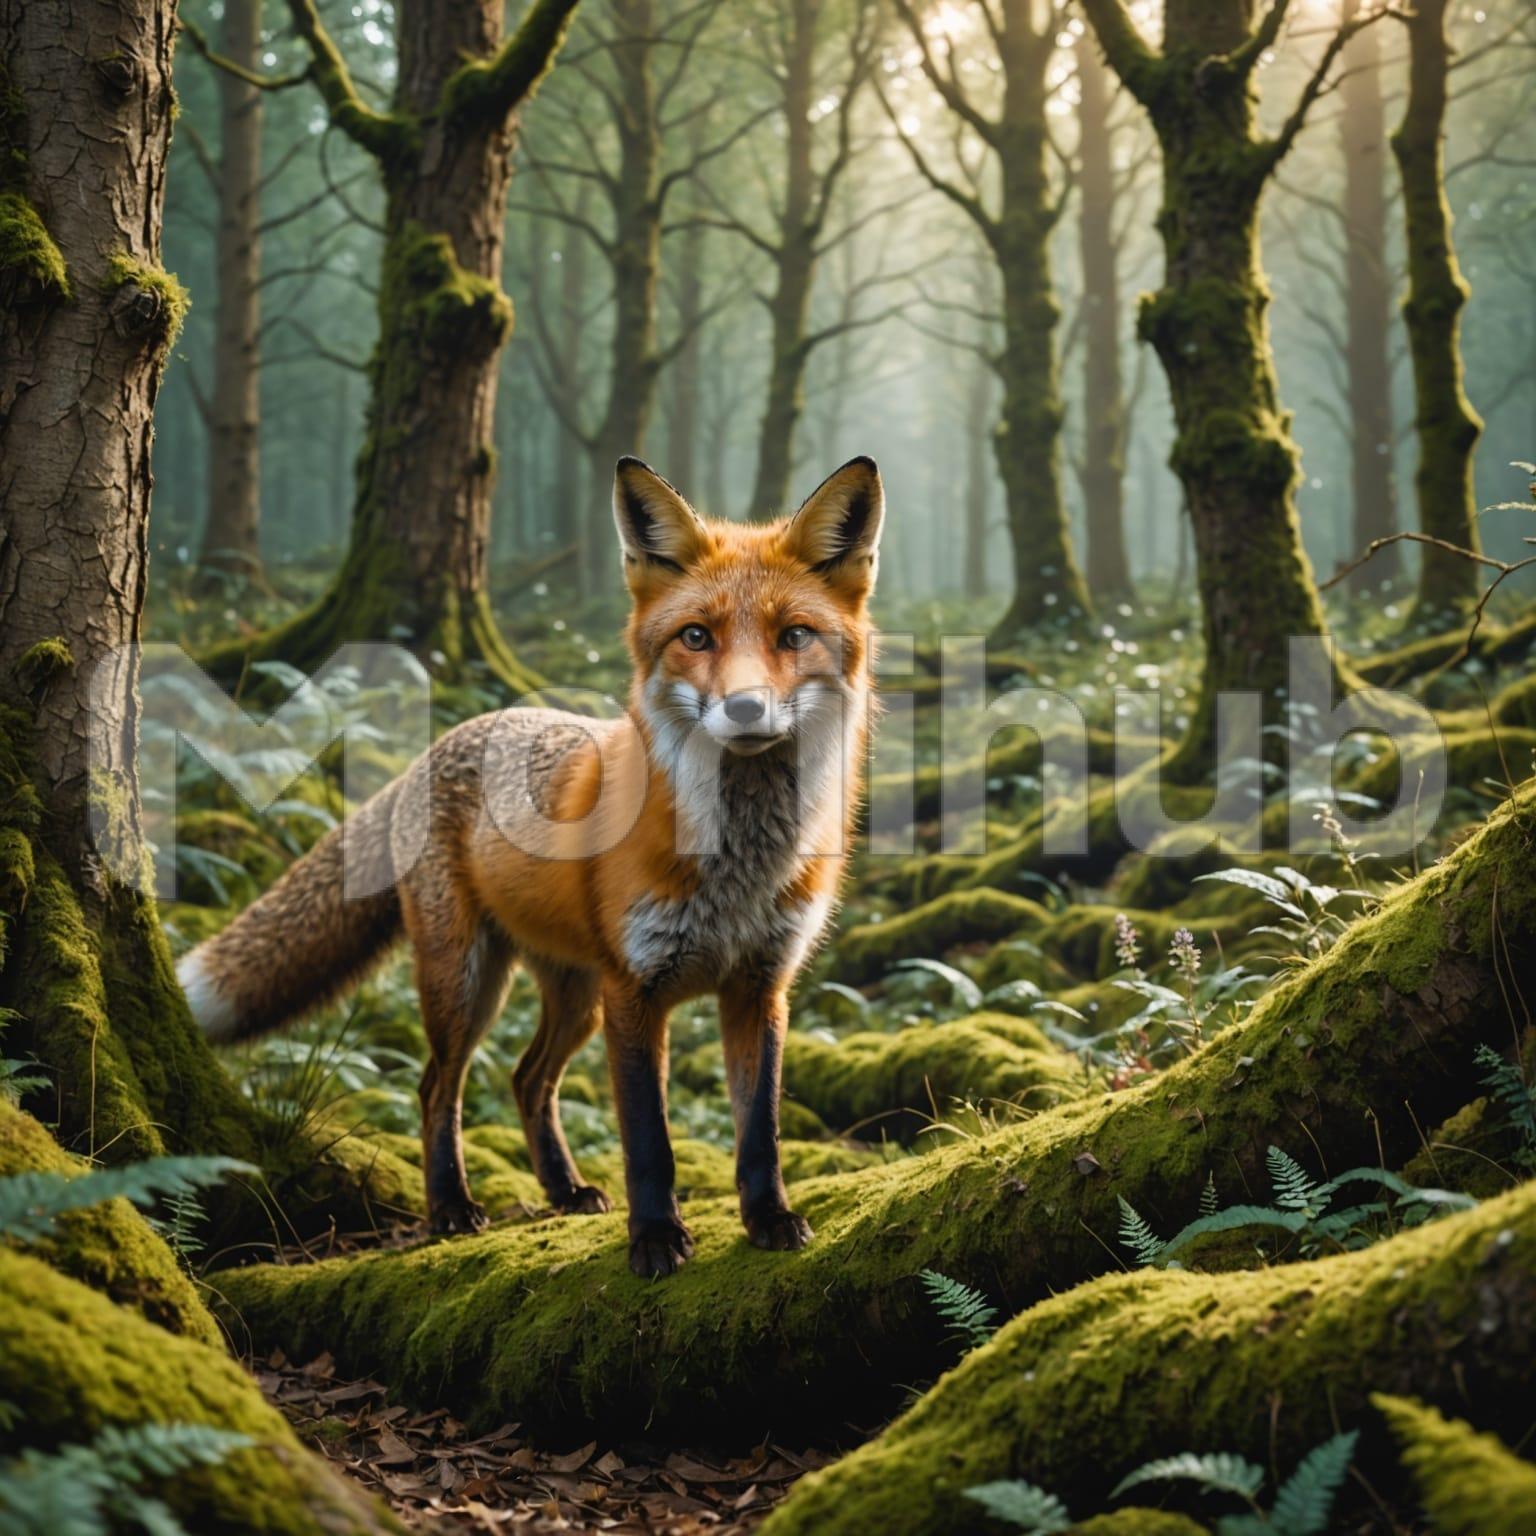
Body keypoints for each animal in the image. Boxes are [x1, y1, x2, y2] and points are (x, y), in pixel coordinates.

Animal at [177, 454, 884, 1276]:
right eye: (697, 636)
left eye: (794, 634)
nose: (744, 709)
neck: (738, 866)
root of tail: (439, 744)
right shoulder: (636, 993)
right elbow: (650, 1141)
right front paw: (654, 1238)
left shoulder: (758, 988)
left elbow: (760, 1131)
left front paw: (768, 1218)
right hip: (469, 983)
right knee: (436, 1088)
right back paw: (451, 1207)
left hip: (574, 996)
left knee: (525, 1078)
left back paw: (564, 1189)